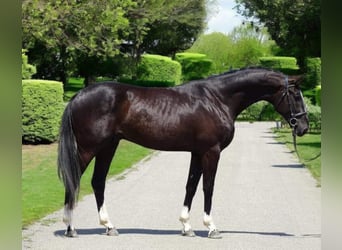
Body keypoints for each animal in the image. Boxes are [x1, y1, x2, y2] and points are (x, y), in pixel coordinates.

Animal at [57, 67, 308, 238]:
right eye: (296, 96)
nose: (304, 127)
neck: (217, 99)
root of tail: (77, 96)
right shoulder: (211, 152)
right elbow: (208, 187)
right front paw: (211, 227)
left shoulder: (197, 153)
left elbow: (191, 186)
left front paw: (186, 226)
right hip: (89, 149)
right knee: (73, 180)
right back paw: (70, 228)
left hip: (108, 146)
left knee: (98, 182)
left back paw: (109, 226)